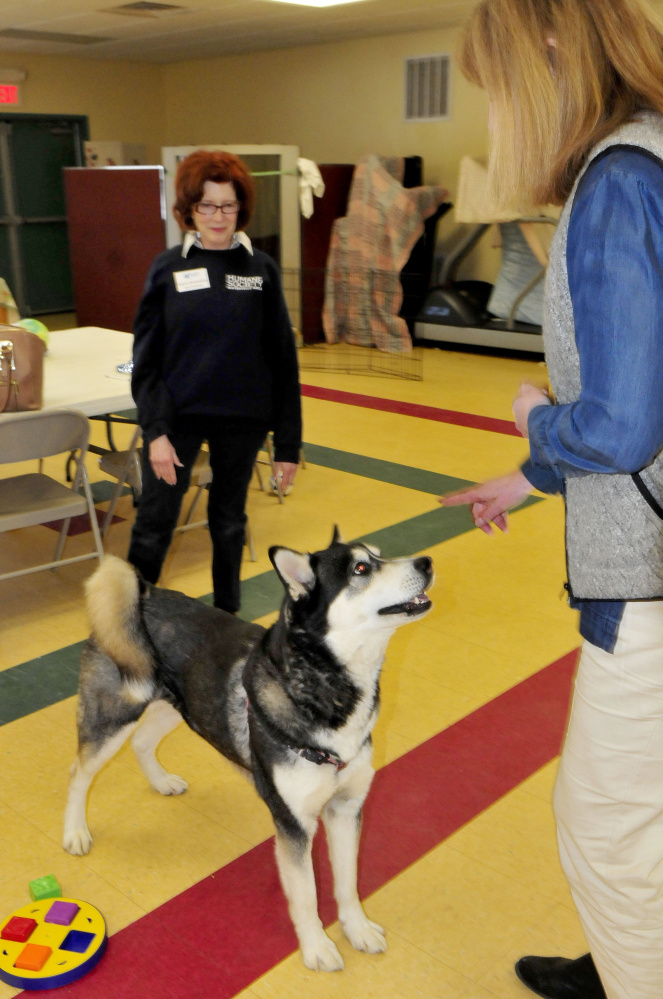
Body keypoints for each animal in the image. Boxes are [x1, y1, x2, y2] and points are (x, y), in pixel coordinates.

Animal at [65, 532, 434, 976]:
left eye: (380, 555)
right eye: (361, 569)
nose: (427, 562)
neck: (328, 692)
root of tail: (143, 592)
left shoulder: (346, 807)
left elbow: (348, 881)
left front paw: (357, 928)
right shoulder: (294, 824)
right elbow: (307, 894)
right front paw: (317, 947)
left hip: (184, 706)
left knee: (142, 742)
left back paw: (162, 781)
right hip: (115, 713)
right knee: (79, 772)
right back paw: (75, 832)